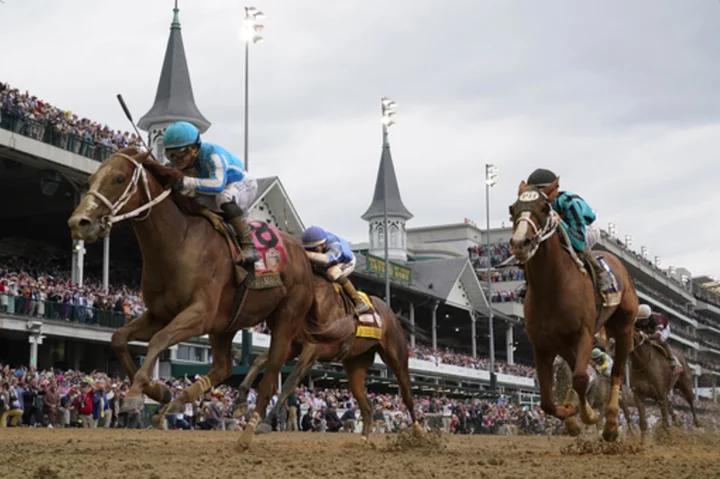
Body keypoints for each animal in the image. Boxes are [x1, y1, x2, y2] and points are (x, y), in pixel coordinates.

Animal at [67, 148, 346, 452]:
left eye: (118, 178)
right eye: (92, 179)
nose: (78, 223)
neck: (179, 242)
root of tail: (303, 256)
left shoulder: (199, 314)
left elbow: (159, 340)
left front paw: (136, 393)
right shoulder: (159, 314)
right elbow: (119, 338)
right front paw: (160, 391)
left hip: (285, 321)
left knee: (272, 377)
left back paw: (249, 430)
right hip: (227, 325)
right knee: (224, 367)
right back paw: (179, 403)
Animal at [233, 278, 420, 438]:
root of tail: (393, 315)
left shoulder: (311, 349)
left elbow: (290, 383)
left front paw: (265, 423)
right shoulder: (293, 346)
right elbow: (259, 360)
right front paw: (241, 400)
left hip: (397, 356)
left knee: (407, 396)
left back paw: (418, 432)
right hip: (357, 363)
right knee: (367, 406)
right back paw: (363, 440)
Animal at [510, 179, 640, 442]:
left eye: (543, 208)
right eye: (512, 210)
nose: (520, 243)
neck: (552, 287)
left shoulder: (584, 334)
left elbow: (581, 378)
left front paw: (589, 417)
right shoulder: (542, 345)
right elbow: (548, 401)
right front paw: (572, 418)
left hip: (624, 328)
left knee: (617, 373)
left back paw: (611, 425)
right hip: (566, 345)